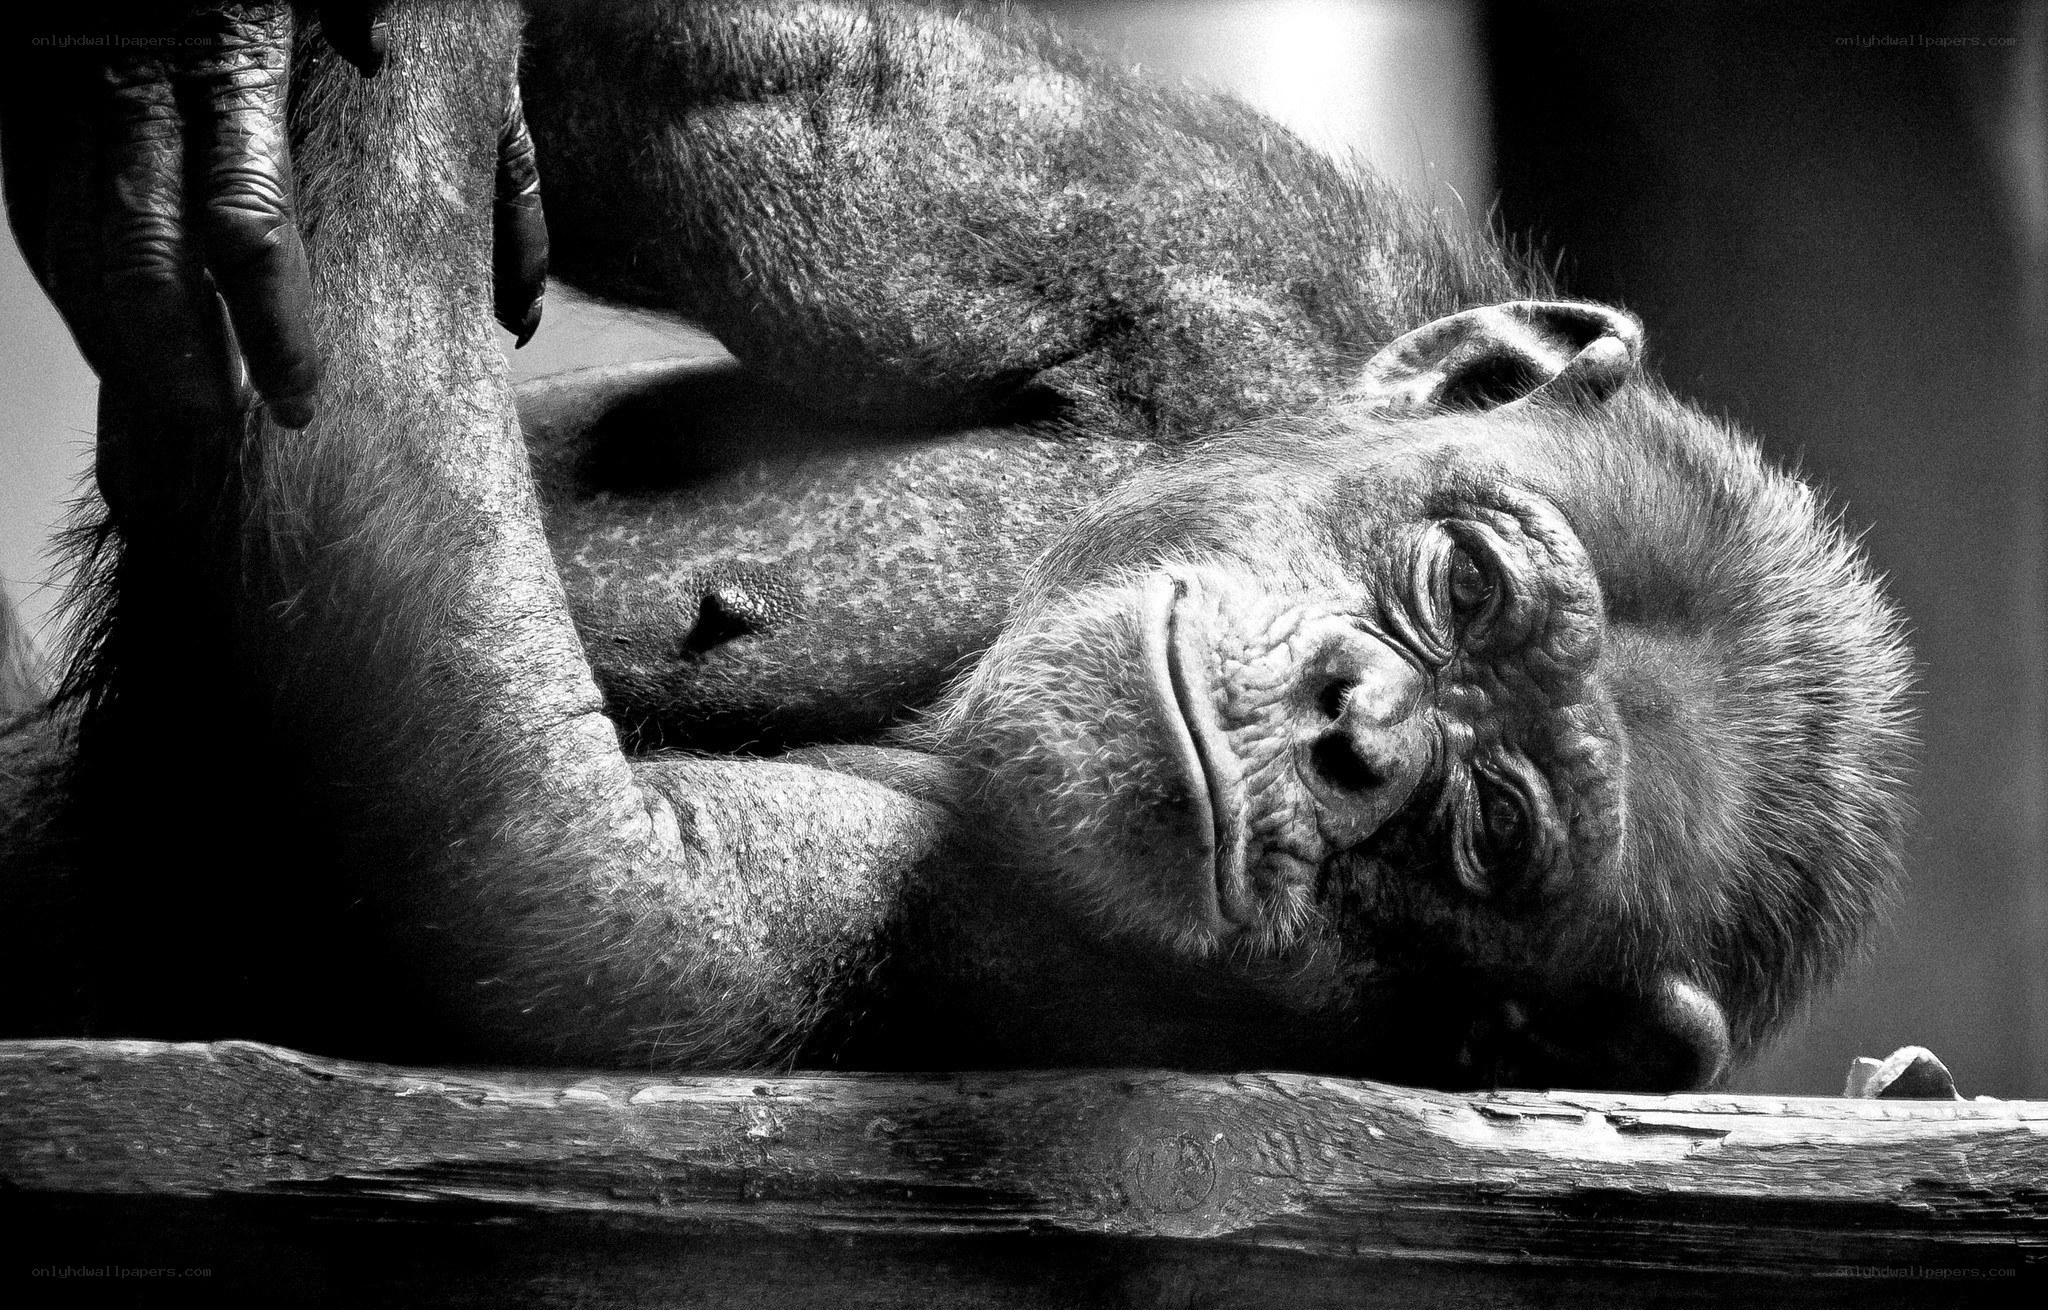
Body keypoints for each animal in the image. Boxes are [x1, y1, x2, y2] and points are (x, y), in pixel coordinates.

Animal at [0, 0, 1914, 1092]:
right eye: (1464, 583)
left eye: (1489, 832)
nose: (1352, 724)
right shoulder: (1224, 269)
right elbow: (748, 87)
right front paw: (212, 62)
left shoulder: (919, 942)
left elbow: (522, 845)